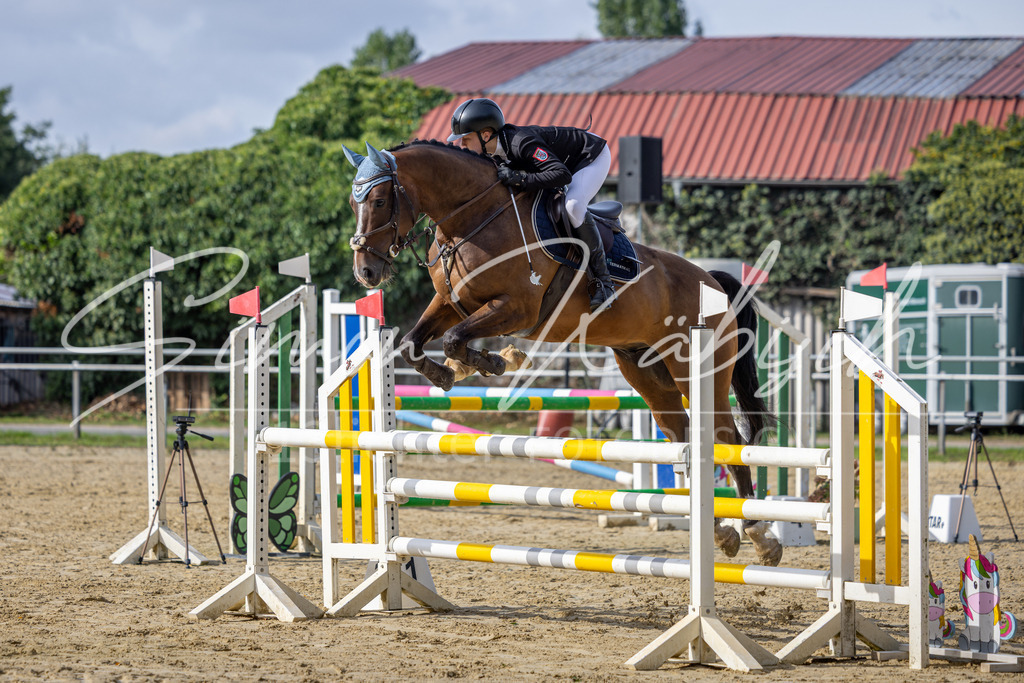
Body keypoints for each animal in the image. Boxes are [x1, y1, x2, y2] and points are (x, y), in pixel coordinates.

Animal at [342, 140, 781, 566]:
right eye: (352, 202)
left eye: (379, 201)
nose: (365, 272)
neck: (472, 219)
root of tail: (712, 281)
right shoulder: (451, 302)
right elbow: (414, 344)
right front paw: (456, 372)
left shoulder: (516, 308)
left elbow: (452, 338)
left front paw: (494, 361)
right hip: (649, 373)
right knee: (684, 434)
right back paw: (721, 529)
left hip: (697, 371)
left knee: (726, 437)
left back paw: (759, 534)